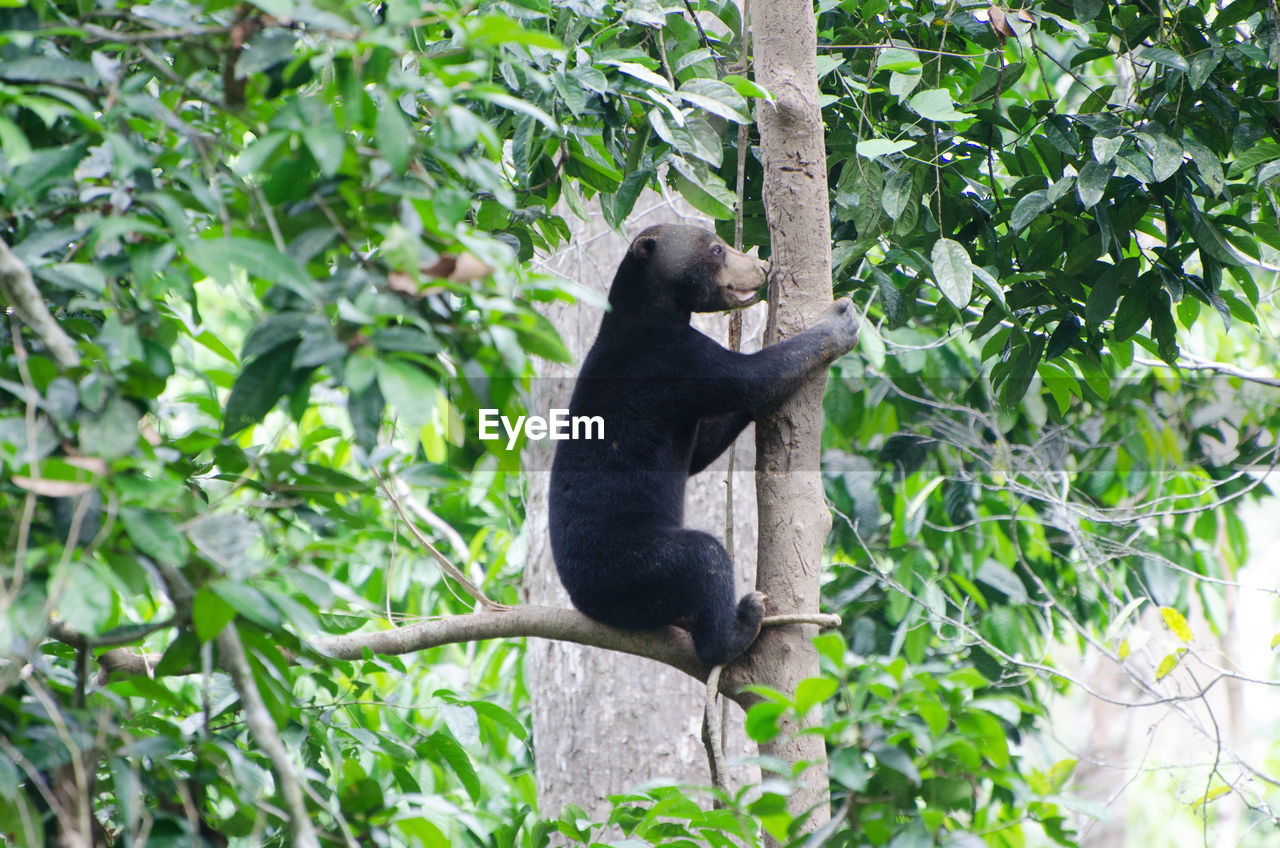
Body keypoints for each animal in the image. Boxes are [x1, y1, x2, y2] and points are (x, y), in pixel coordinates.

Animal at [550, 225, 860, 671]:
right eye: (717, 250)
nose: (763, 266)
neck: (649, 311)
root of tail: (582, 602)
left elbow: (701, 447)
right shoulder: (675, 360)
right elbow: (752, 376)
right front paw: (839, 322)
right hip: (625, 565)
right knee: (703, 558)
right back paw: (740, 624)